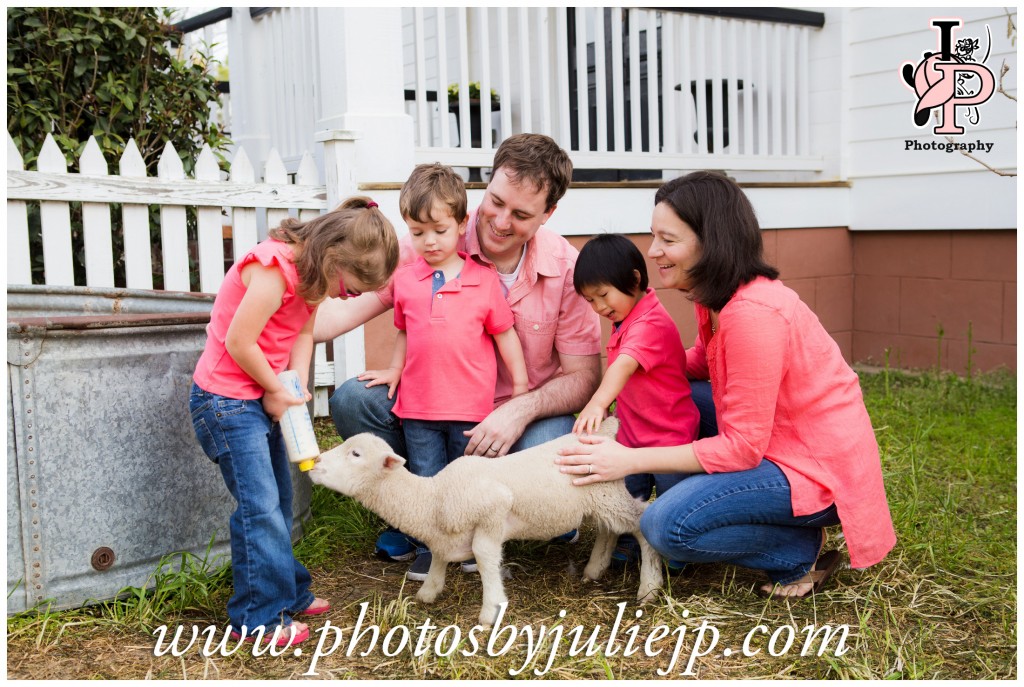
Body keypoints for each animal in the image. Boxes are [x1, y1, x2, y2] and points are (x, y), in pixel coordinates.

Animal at [309, 419, 663, 630]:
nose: (314, 464)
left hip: (607, 493)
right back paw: (594, 568)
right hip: (598, 498)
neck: (433, 498)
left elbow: (483, 556)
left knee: (641, 520)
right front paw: (428, 591)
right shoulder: (444, 535)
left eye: (355, 454)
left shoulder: (493, 511)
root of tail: (603, 432)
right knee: (609, 528)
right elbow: (438, 557)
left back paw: (649, 586)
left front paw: (490, 610)